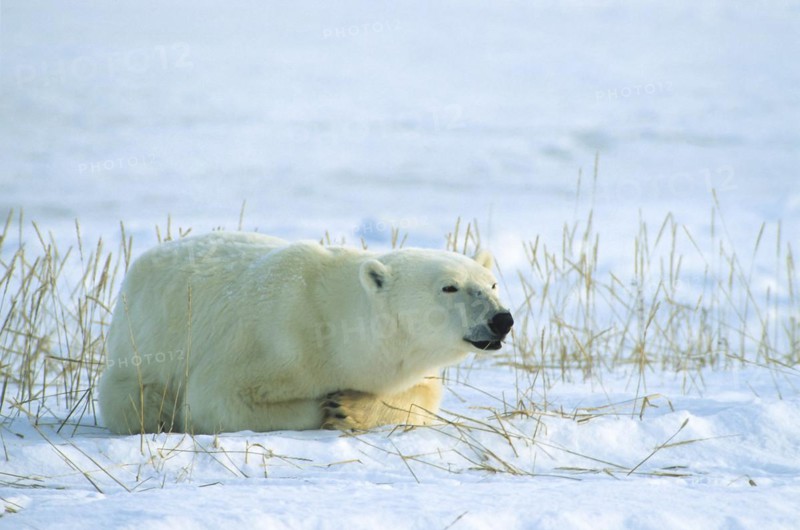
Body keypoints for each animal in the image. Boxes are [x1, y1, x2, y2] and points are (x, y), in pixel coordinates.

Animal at [97, 232, 513, 434]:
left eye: (491, 284)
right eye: (450, 287)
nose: (502, 319)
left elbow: (423, 396)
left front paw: (350, 407)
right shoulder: (273, 342)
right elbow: (215, 400)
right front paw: (330, 406)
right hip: (139, 350)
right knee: (135, 401)